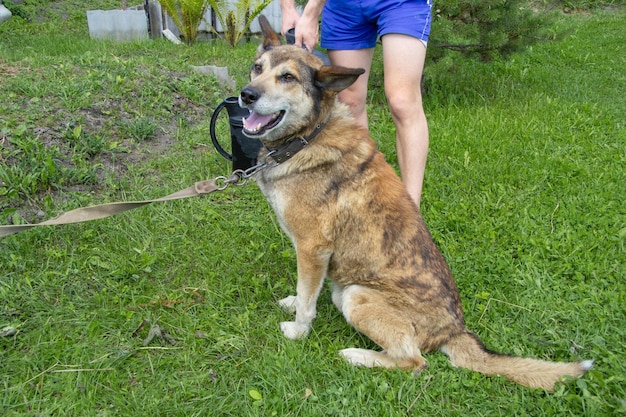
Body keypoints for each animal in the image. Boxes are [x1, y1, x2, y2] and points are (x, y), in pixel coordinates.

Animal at [238, 14, 588, 388]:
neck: (309, 136)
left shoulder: (313, 248)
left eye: (287, 77)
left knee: (414, 362)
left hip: (355, 294)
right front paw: (293, 302)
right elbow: (305, 291)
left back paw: (357, 355)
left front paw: (298, 332)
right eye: (257, 68)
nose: (247, 94)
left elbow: (308, 301)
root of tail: (454, 331)